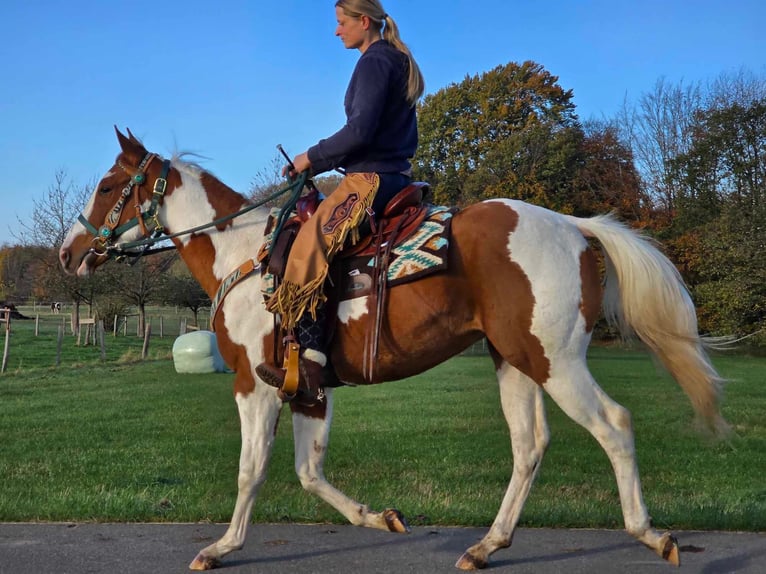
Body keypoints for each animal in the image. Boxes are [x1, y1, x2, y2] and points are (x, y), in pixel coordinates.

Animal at [57, 128, 728, 572]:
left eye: (108, 185)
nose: (68, 253)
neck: (244, 256)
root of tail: (574, 227)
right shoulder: (307, 389)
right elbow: (309, 470)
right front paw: (378, 518)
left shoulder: (255, 383)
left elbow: (253, 470)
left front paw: (222, 547)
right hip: (515, 361)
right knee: (529, 445)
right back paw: (487, 546)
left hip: (555, 362)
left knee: (614, 425)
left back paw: (651, 534)